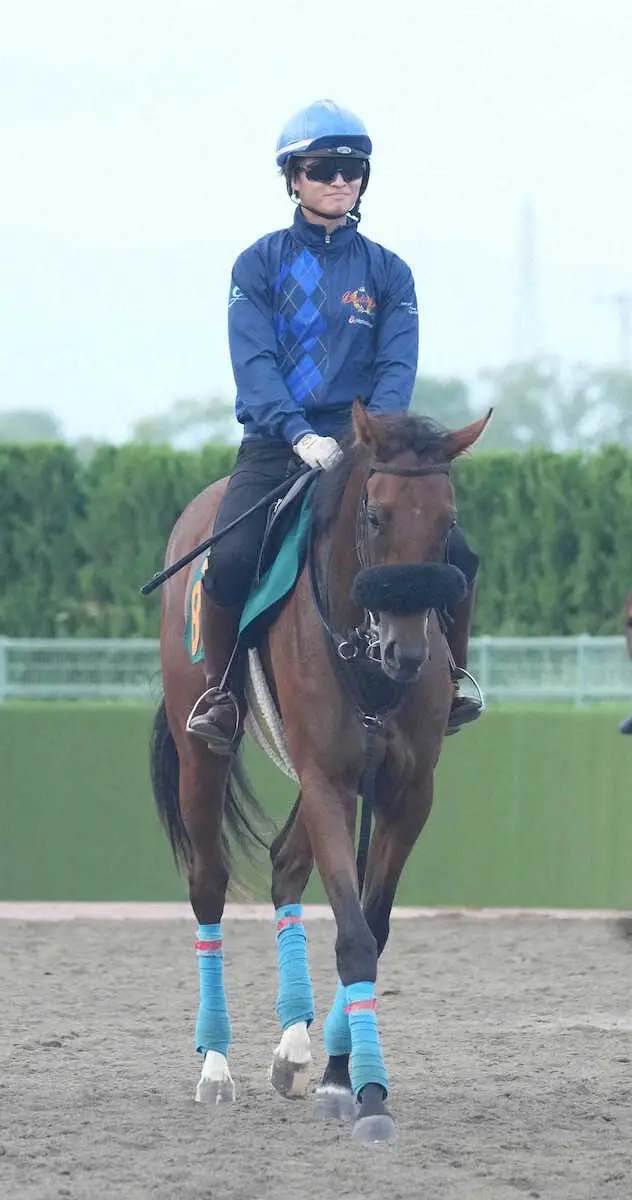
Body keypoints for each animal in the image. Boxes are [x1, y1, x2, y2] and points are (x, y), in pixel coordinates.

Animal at [151, 398, 491, 1137]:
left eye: (447, 522)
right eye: (376, 515)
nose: (406, 654)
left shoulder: (406, 792)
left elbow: (373, 925)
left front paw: (341, 1071)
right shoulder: (332, 784)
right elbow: (355, 934)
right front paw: (365, 1093)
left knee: (284, 865)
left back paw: (294, 1047)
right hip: (204, 759)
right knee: (208, 883)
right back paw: (215, 1063)